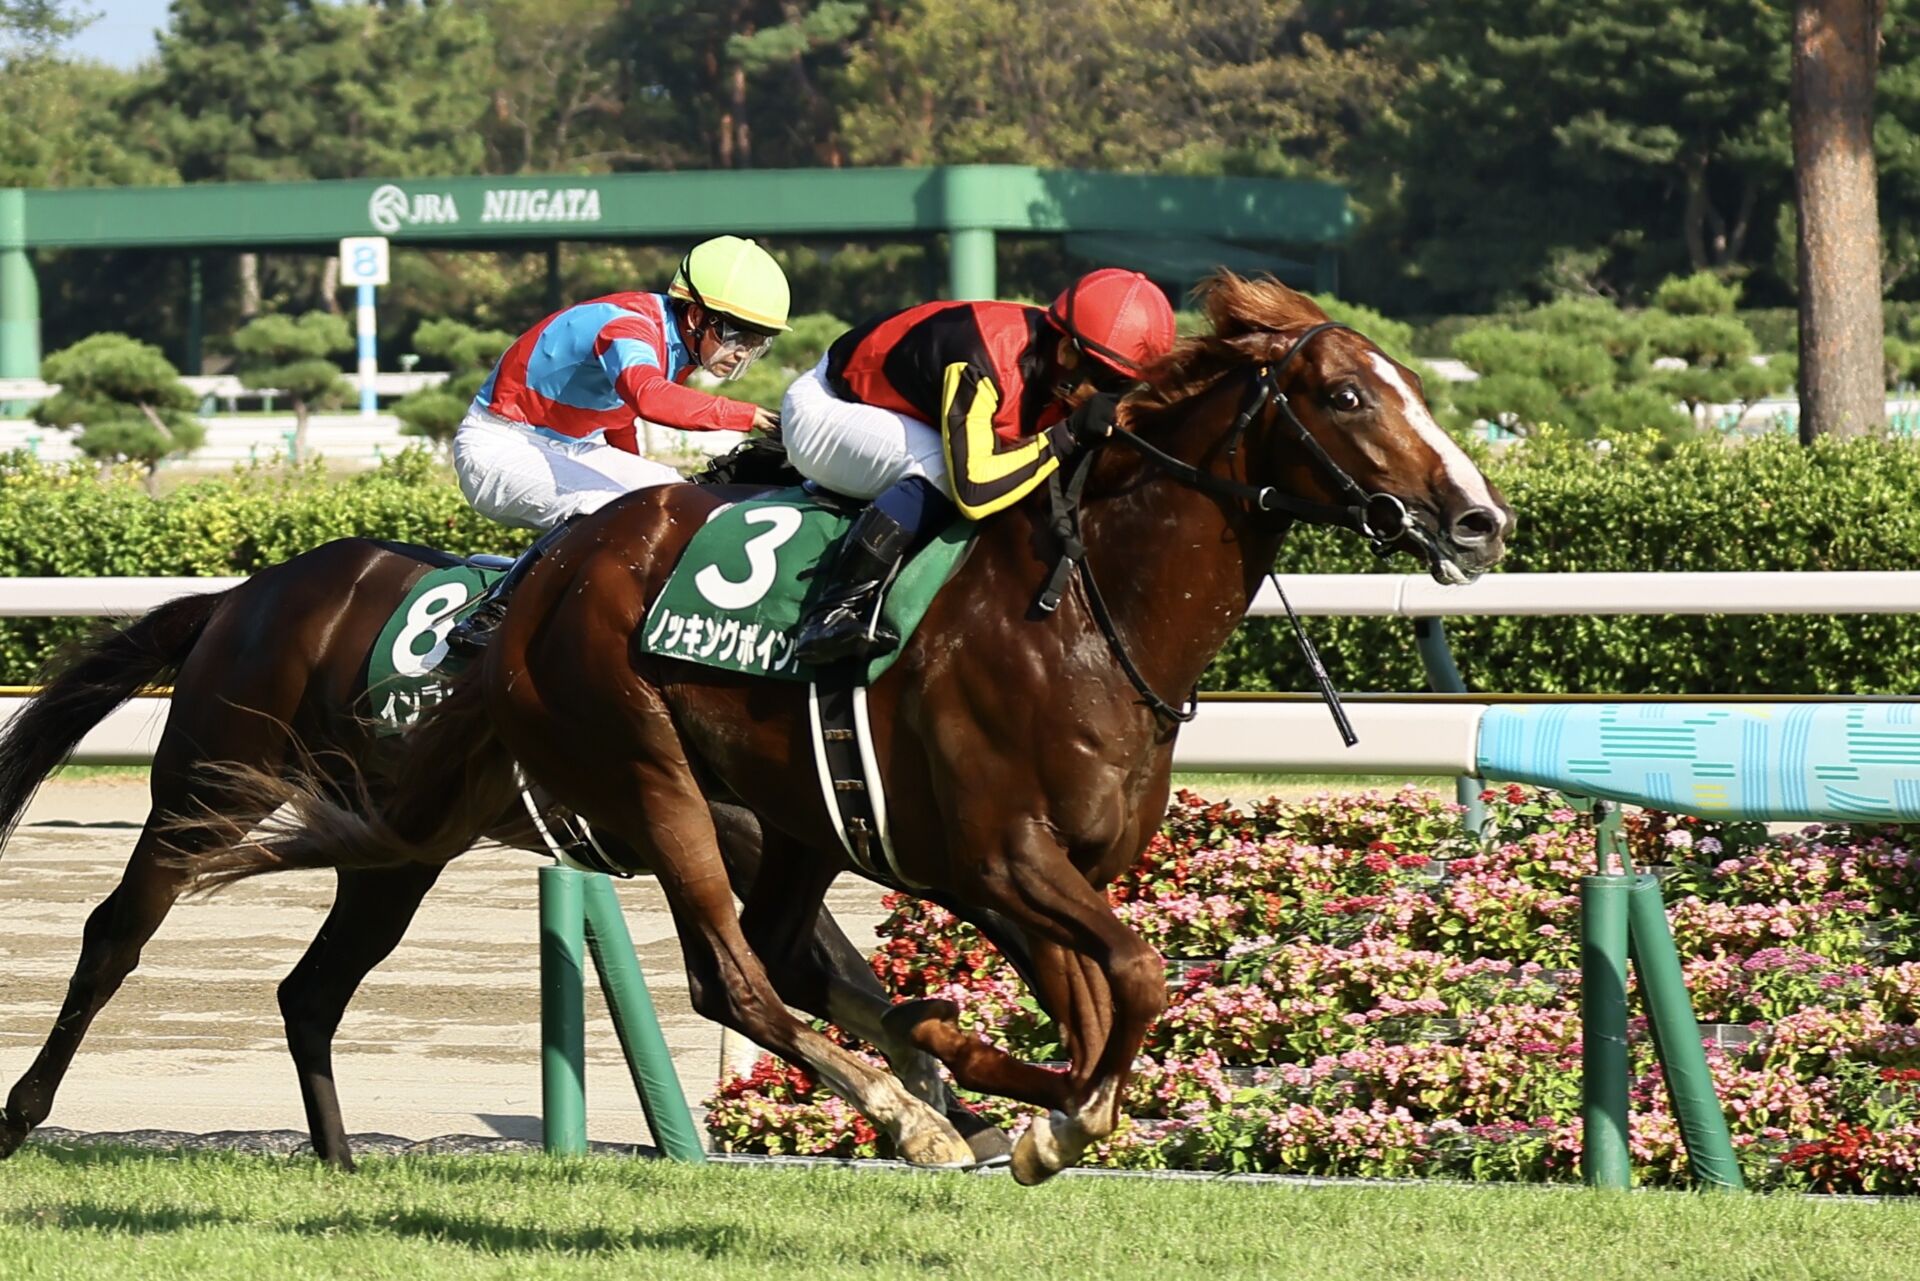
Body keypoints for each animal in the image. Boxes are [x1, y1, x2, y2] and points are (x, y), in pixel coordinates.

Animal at [0, 446, 1012, 1169]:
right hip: (210, 790)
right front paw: (933, 1106)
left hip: (395, 849)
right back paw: (22, 1113)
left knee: (311, 990)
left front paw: (959, 1105)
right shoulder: (719, 838)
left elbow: (847, 970)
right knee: (115, 934)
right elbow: (802, 968)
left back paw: (339, 1161)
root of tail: (240, 596)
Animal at [177, 273, 1513, 1182]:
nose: (1479, 522)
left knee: (774, 954)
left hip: (788, 822)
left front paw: (1022, 1098)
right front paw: (1029, 1112)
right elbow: (1130, 978)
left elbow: (1098, 1006)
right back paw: (910, 1112)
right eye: (1347, 394)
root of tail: (542, 582)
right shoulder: (997, 857)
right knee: (731, 974)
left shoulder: (1032, 871)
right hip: (648, 777)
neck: (1083, 613)